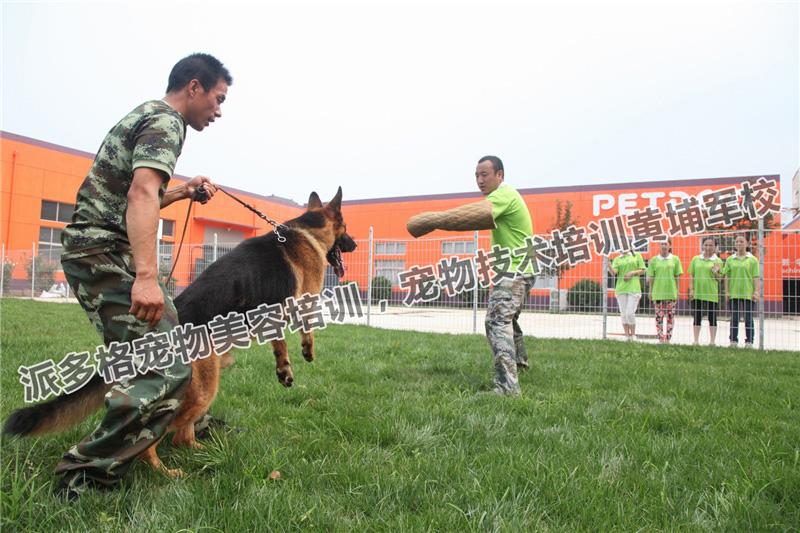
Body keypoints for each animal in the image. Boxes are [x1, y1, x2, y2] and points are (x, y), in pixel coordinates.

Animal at [0, 186, 356, 474]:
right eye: (347, 230)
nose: (352, 244)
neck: (306, 231)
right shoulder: (299, 302)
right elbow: (300, 333)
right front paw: (297, 359)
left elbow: (279, 341)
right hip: (200, 386)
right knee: (159, 433)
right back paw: (164, 470)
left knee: (179, 434)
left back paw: (205, 453)